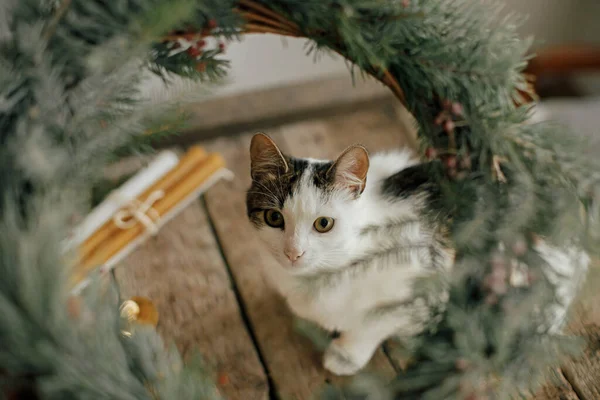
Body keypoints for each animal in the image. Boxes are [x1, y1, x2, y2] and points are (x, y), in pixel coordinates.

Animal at [244, 134, 454, 376]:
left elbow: (374, 324)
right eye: (273, 217)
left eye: (323, 223)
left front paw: (345, 356)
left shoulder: (426, 281)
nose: (293, 252)